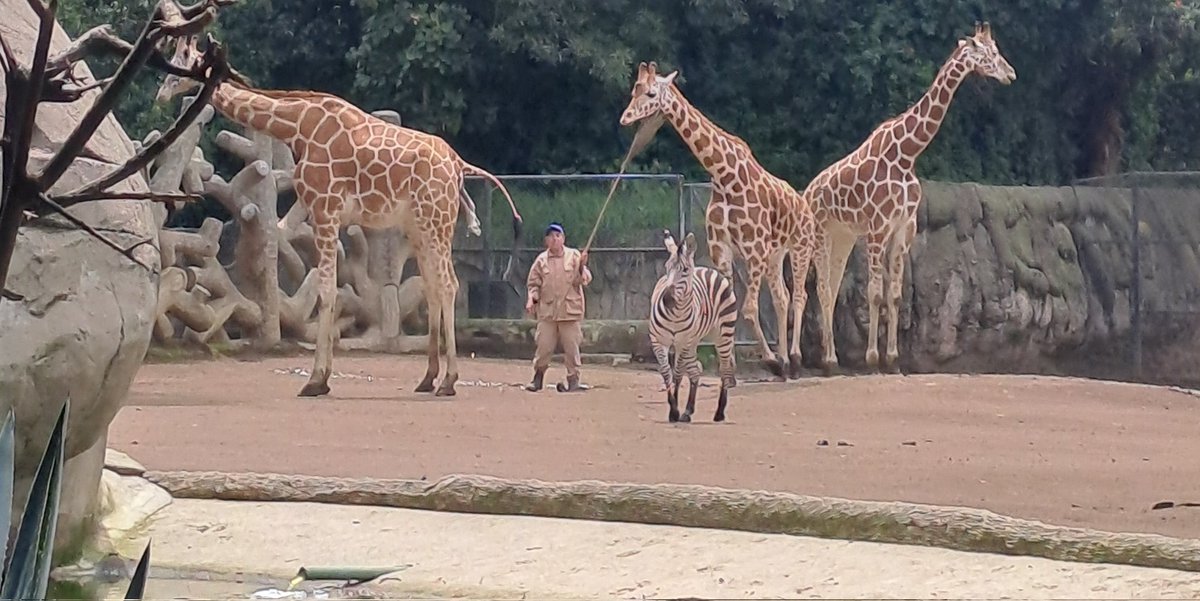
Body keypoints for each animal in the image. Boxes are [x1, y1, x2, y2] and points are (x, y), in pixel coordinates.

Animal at [155, 36, 524, 397]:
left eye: (185, 56)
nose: (162, 93)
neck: (297, 126)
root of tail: (458, 165)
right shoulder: (324, 213)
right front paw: (322, 378)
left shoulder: (325, 210)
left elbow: (326, 291)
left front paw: (316, 381)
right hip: (419, 227)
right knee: (434, 287)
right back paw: (428, 378)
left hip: (436, 223)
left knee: (449, 284)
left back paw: (448, 382)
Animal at [620, 61, 816, 380]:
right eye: (633, 90)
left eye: (650, 93)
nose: (625, 118)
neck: (724, 176)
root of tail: (804, 204)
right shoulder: (721, 248)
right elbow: (729, 305)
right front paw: (735, 365)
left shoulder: (753, 249)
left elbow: (747, 308)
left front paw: (770, 361)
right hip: (775, 255)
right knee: (782, 298)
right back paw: (786, 361)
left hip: (801, 246)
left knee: (800, 295)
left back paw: (795, 360)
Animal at [802, 22, 1016, 373]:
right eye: (989, 52)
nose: (1011, 73)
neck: (907, 155)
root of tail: (807, 191)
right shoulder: (877, 229)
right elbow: (874, 294)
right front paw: (872, 359)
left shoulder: (903, 228)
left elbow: (895, 296)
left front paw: (893, 359)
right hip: (819, 233)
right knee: (818, 287)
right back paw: (821, 359)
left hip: (843, 236)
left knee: (830, 289)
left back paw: (829, 357)